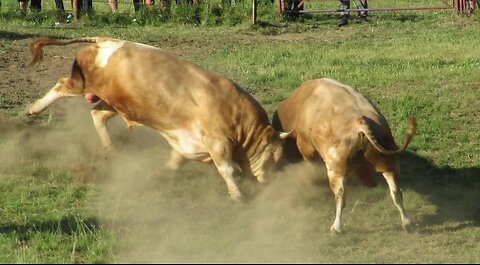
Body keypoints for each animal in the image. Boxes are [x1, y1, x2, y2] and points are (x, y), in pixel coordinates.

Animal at [28, 36, 290, 199]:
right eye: (275, 157)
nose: (272, 182)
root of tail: (104, 41)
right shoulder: (218, 142)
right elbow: (227, 169)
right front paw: (237, 194)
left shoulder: (188, 146)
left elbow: (173, 163)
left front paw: (154, 176)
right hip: (81, 83)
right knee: (61, 86)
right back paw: (34, 108)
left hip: (116, 102)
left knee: (98, 115)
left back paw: (110, 148)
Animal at [274, 77, 416, 232]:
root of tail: (361, 122)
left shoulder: (307, 148)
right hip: (389, 165)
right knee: (396, 192)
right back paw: (406, 222)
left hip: (336, 171)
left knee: (341, 196)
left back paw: (336, 227)